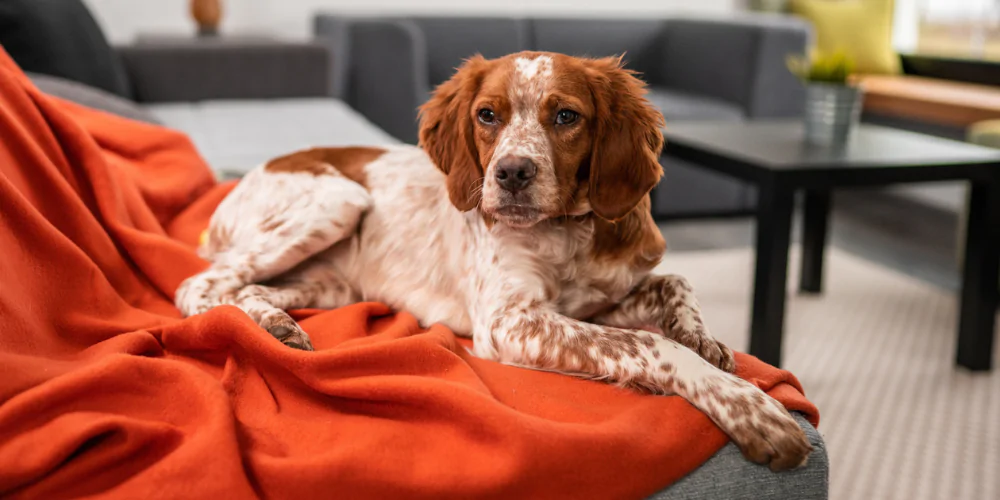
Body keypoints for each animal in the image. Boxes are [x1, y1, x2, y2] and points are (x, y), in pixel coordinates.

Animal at [178, 51, 812, 472]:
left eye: (566, 116)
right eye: (488, 115)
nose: (510, 174)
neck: (568, 233)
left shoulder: (598, 303)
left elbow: (675, 283)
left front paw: (705, 339)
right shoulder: (509, 322)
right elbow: (651, 345)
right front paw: (751, 410)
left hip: (333, 284)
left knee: (248, 289)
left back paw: (278, 327)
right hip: (339, 199)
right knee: (198, 288)